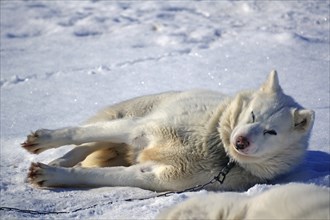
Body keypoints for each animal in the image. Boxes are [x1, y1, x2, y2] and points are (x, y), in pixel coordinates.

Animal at [21, 70, 314, 191]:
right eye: (252, 114)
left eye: (271, 132)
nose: (240, 141)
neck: (216, 149)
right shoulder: (139, 130)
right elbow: (76, 134)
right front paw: (43, 140)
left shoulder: (153, 176)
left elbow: (96, 176)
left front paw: (52, 176)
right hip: (128, 119)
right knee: (85, 140)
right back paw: (54, 154)